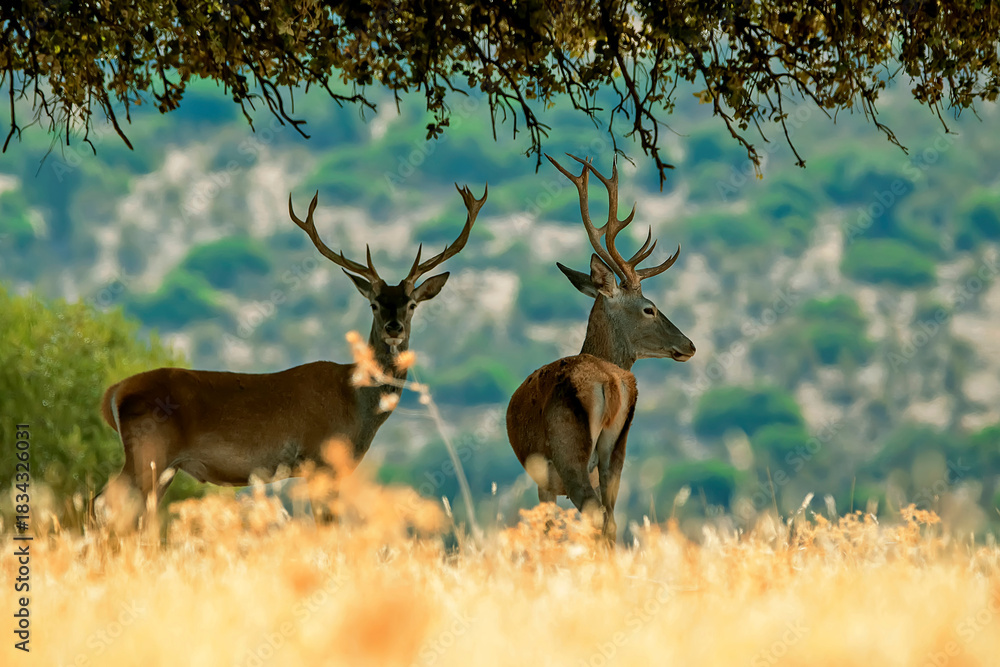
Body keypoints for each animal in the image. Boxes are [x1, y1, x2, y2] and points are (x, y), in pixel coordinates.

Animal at [96, 183, 487, 516]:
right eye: (375, 304)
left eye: (411, 304)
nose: (394, 328)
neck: (355, 402)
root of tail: (114, 392)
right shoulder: (320, 461)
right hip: (149, 451)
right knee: (105, 502)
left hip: (162, 467)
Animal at [506, 154, 694, 544]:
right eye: (650, 308)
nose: (689, 345)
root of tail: (610, 382)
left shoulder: (544, 479)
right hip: (615, 452)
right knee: (611, 519)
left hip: (570, 454)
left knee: (596, 516)